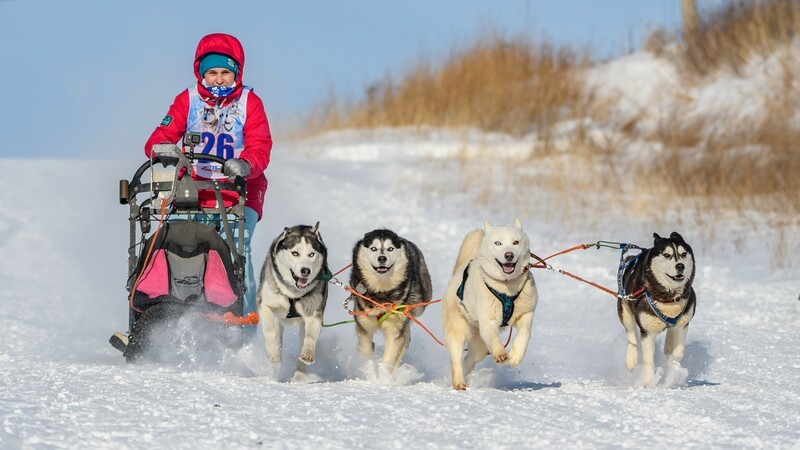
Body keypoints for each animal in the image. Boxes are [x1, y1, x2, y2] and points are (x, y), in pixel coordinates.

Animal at [258, 222, 330, 372]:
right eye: (295, 253)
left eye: (311, 254)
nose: (305, 271)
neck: (293, 293)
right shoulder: (265, 305)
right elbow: (270, 331)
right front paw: (273, 353)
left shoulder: (314, 314)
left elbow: (310, 337)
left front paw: (308, 353)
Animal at [348, 229, 432, 370]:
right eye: (373, 248)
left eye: (390, 248)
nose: (382, 258)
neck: (382, 292)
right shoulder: (364, 326)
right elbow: (366, 350)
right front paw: (368, 367)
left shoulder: (395, 330)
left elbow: (389, 359)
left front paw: (383, 374)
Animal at [440, 220, 540, 388]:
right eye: (498, 243)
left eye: (516, 242)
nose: (509, 255)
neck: (507, 288)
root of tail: (458, 273)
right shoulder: (487, 321)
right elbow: (493, 338)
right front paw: (500, 354)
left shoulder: (527, 313)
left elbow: (524, 333)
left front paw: (516, 355)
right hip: (458, 330)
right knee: (456, 359)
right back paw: (459, 382)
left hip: (480, 345)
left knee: (469, 359)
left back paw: (467, 373)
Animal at [616, 232, 696, 386]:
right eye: (666, 254)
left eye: (684, 253)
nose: (680, 266)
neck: (668, 299)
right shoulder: (647, 331)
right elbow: (648, 360)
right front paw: (648, 382)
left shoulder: (683, 323)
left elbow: (678, 354)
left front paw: (672, 369)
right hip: (624, 309)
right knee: (632, 336)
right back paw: (631, 359)